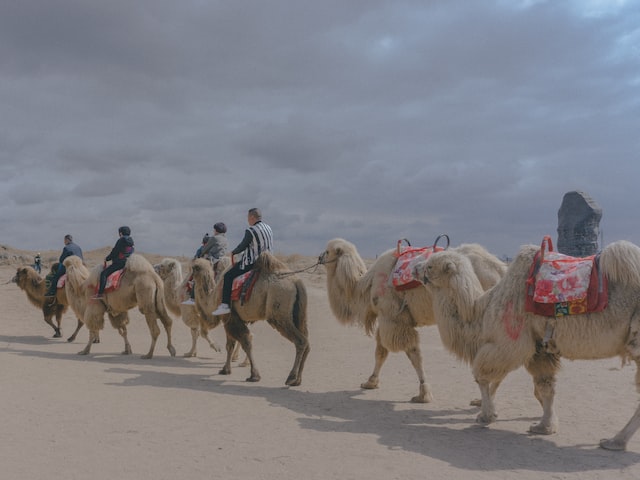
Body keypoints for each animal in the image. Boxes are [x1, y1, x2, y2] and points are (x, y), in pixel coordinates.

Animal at [190, 251, 310, 386]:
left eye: (194, 268)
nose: (190, 280)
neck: (213, 298)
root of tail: (297, 283)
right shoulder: (233, 319)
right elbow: (230, 345)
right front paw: (225, 369)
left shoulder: (230, 318)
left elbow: (244, 342)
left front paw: (254, 375)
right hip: (299, 314)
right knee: (307, 341)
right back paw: (298, 380)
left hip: (279, 311)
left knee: (301, 341)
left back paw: (291, 378)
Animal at [318, 238, 504, 404]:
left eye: (327, 251)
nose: (319, 258)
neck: (366, 285)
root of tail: (500, 269)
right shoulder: (388, 319)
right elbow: (381, 351)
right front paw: (370, 382)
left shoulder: (393, 319)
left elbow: (413, 354)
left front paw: (423, 394)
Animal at [410, 242, 640, 452]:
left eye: (430, 266)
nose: (414, 267)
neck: (480, 312)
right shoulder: (539, 348)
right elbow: (546, 386)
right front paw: (544, 426)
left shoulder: (509, 342)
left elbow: (481, 376)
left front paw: (486, 415)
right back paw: (616, 441)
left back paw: (615, 441)